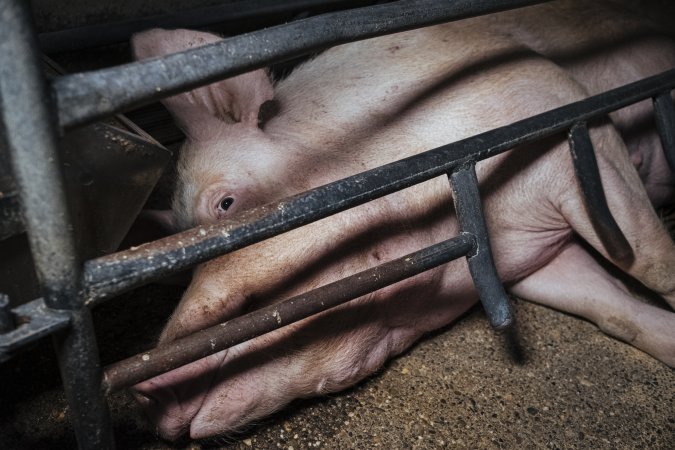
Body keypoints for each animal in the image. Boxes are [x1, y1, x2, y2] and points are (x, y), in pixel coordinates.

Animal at [130, 0, 675, 441]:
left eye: (225, 204)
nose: (143, 387)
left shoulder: (563, 111)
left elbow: (652, 263)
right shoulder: (531, 258)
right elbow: (614, 309)